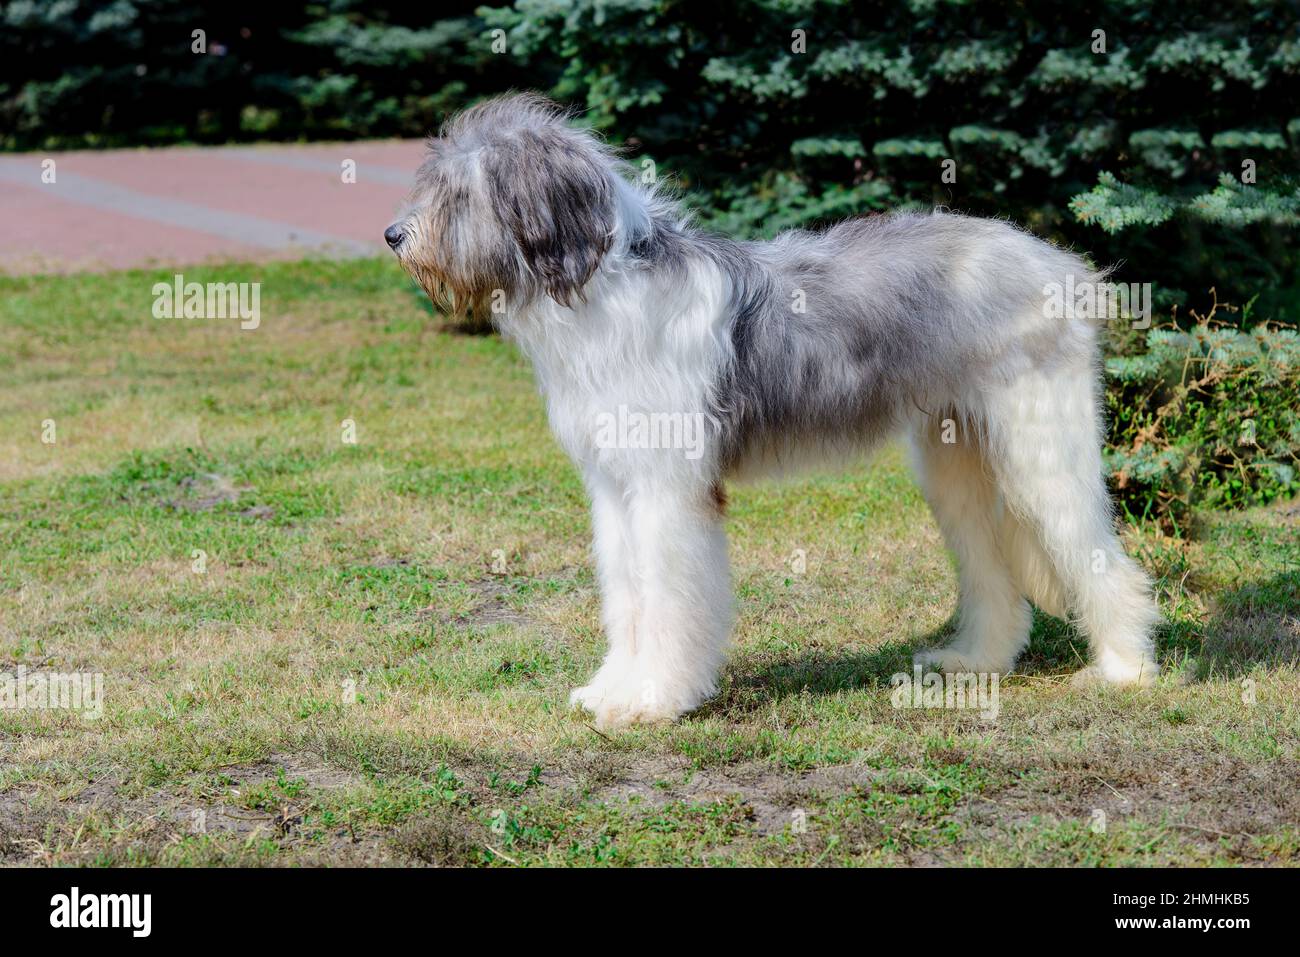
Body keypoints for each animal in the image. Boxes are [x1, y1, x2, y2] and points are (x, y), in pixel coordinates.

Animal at [382, 95, 1159, 722]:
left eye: (460, 194)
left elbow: (667, 596)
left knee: (1099, 554)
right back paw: (975, 661)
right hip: (955, 460)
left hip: (1042, 444)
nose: (394, 236)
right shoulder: (615, 486)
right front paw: (611, 690)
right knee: (992, 567)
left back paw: (1125, 670)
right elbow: (627, 595)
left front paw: (653, 700)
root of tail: (1058, 263)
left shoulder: (667, 490)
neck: (602, 285)